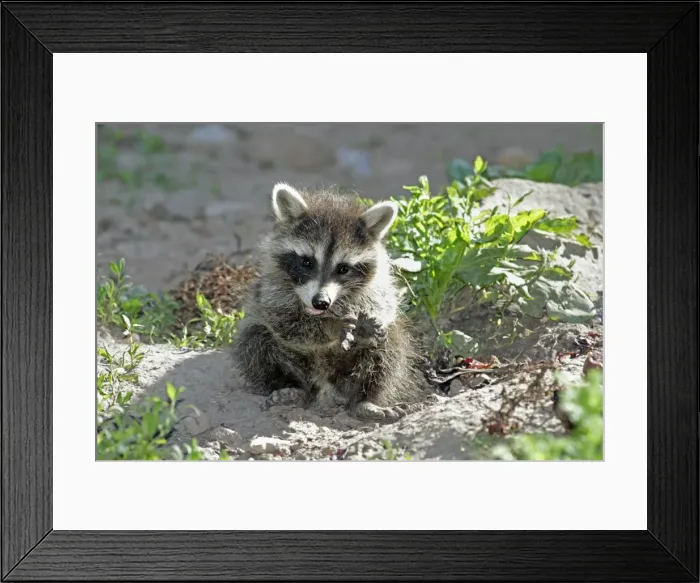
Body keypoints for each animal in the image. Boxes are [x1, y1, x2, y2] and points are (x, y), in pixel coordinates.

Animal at [230, 181, 428, 422]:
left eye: (343, 268)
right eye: (306, 262)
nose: (320, 302)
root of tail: (325, 389)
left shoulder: (378, 286)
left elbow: (384, 306)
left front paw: (362, 325)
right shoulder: (271, 288)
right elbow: (285, 321)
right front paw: (332, 327)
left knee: (390, 346)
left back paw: (366, 400)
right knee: (256, 340)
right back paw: (289, 387)